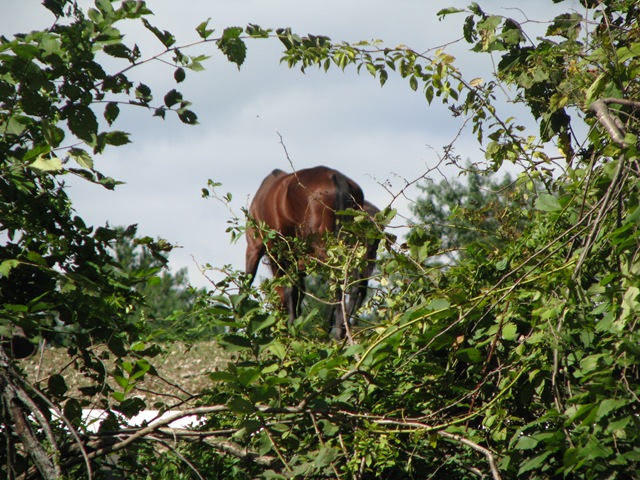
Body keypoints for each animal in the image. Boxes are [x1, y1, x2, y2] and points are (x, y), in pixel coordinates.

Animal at [245, 166, 377, 339]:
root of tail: (337, 178)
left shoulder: (257, 248)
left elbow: (254, 285)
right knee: (355, 282)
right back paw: (342, 328)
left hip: (324, 246)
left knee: (339, 280)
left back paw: (336, 330)